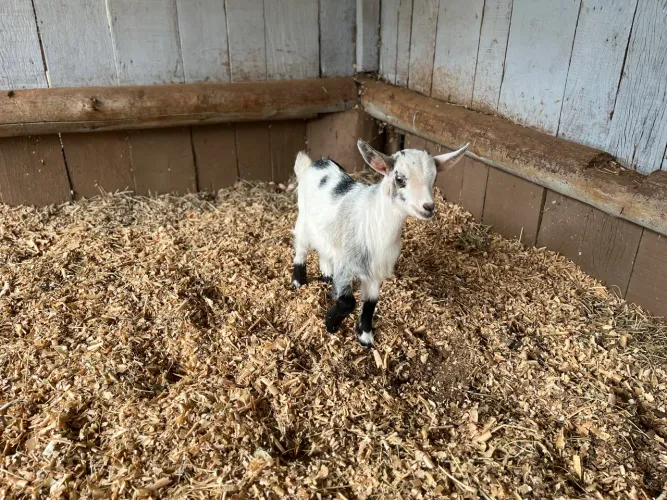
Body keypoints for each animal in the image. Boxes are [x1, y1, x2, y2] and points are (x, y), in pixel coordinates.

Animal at [292, 139, 468, 347]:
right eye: (399, 178)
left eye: (435, 178)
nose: (428, 207)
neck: (374, 224)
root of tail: (317, 163)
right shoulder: (346, 265)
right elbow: (348, 302)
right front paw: (331, 324)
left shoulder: (375, 272)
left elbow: (371, 304)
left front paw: (366, 337)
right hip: (304, 221)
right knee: (301, 250)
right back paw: (298, 282)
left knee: (324, 248)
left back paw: (326, 274)